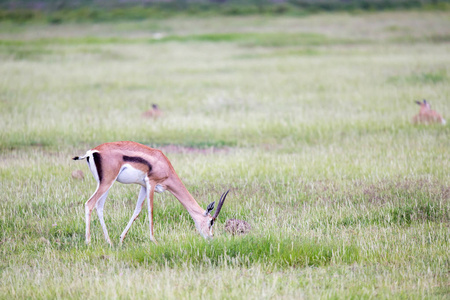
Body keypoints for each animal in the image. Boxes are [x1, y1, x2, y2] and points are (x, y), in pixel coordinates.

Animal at [74, 142, 230, 245]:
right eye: (211, 221)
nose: (211, 238)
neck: (164, 165)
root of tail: (92, 152)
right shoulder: (151, 183)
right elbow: (150, 210)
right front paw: (154, 240)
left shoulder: (143, 186)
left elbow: (137, 211)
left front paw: (121, 239)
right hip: (107, 182)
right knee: (89, 204)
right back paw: (88, 242)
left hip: (105, 184)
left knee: (99, 206)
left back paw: (109, 242)